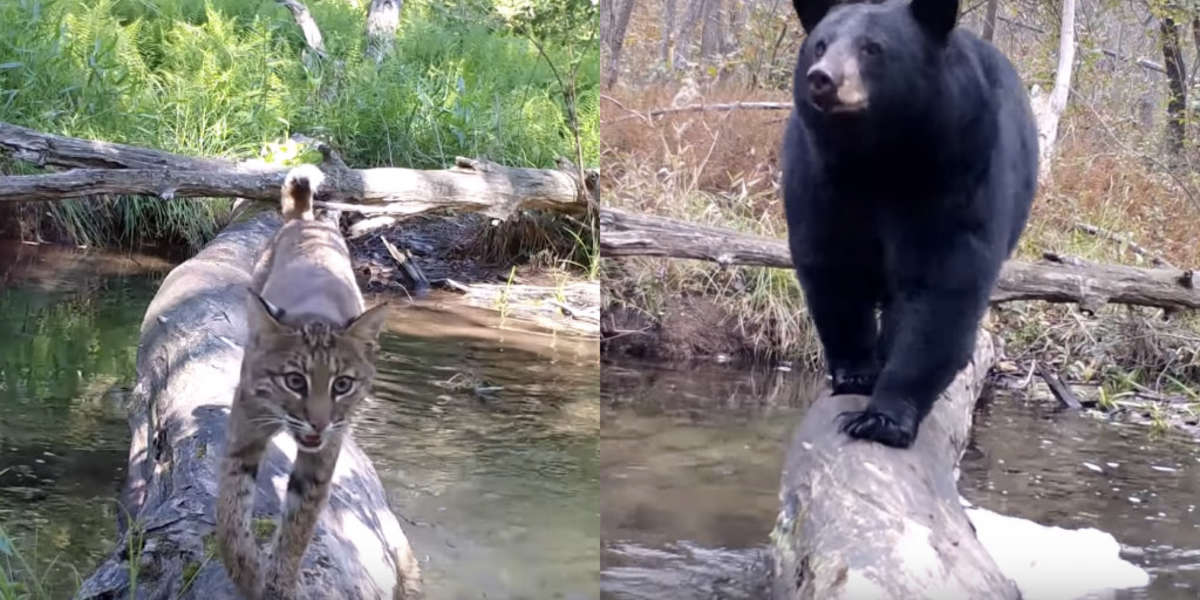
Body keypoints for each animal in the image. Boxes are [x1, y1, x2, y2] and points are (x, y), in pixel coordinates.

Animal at [782, 0, 1036, 448]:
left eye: (872, 48)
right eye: (820, 45)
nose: (822, 78)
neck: (880, 157)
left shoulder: (959, 172)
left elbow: (942, 286)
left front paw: (882, 418)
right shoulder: (820, 179)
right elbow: (832, 267)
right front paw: (856, 373)